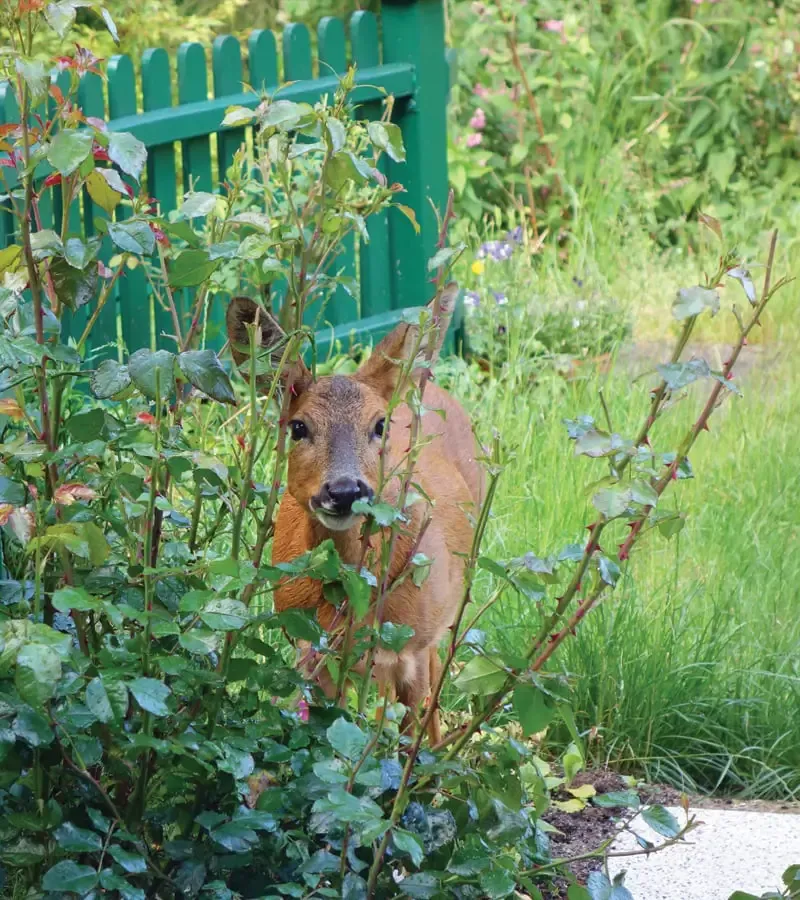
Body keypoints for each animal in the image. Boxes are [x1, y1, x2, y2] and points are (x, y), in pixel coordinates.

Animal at [226, 286, 484, 744]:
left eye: (381, 425)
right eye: (297, 427)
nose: (345, 491)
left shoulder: (411, 647)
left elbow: (405, 739)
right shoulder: (310, 649)